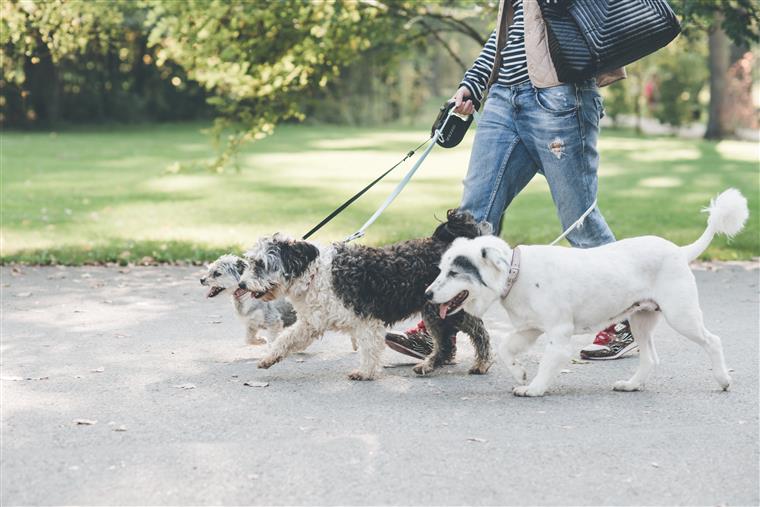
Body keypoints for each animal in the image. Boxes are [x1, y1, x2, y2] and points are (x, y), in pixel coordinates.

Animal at [235, 210, 492, 380]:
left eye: (261, 264)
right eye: (250, 262)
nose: (242, 283)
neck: (315, 274)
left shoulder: (367, 319)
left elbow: (369, 348)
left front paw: (365, 372)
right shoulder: (311, 323)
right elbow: (286, 340)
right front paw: (269, 358)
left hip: (446, 307)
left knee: (476, 331)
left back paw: (481, 363)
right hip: (435, 310)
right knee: (447, 342)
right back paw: (430, 365)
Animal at [428, 190, 748, 396]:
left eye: (454, 272)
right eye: (441, 268)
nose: (428, 294)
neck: (517, 272)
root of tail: (681, 251)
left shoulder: (559, 332)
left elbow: (547, 363)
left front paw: (534, 388)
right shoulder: (530, 329)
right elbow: (506, 346)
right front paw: (519, 373)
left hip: (682, 315)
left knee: (713, 341)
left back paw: (722, 380)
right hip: (642, 320)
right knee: (650, 359)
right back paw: (631, 385)